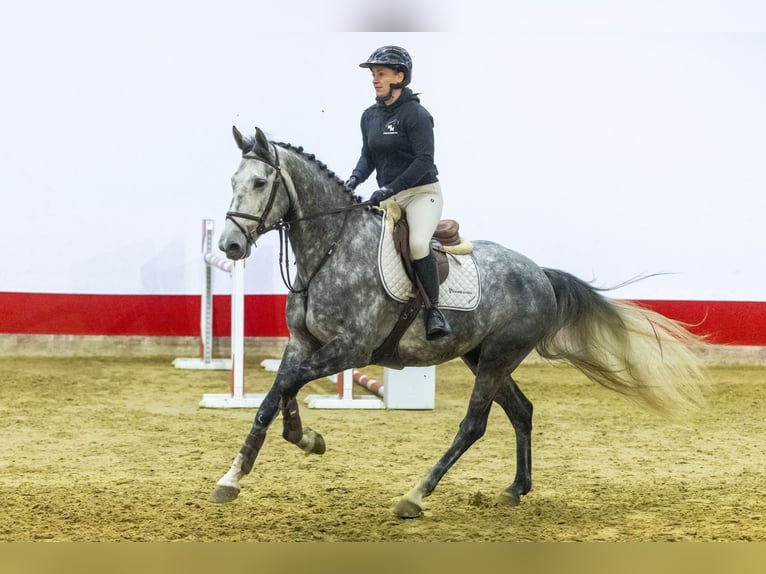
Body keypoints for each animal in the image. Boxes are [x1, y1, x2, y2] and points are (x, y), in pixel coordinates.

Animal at [208, 127, 708, 520]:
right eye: (231, 181)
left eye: (259, 182)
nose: (230, 245)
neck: (331, 248)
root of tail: (539, 273)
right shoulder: (303, 344)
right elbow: (276, 395)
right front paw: (252, 467)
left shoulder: (350, 349)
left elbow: (286, 384)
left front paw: (298, 442)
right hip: (481, 356)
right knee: (521, 411)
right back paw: (515, 489)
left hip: (498, 357)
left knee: (474, 424)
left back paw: (416, 495)